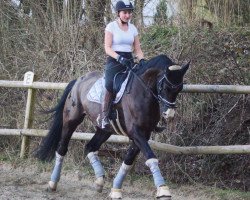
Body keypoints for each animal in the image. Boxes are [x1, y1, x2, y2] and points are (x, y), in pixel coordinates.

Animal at [33, 54, 189, 199]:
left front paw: (116, 190)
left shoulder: (144, 134)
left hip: (105, 130)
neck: (143, 92)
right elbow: (151, 157)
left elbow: (128, 160)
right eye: (165, 87)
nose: (169, 114)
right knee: (62, 148)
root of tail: (79, 80)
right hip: (71, 121)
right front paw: (163, 190)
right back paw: (53, 183)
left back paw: (99, 182)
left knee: (90, 147)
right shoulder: (136, 132)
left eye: (180, 88)